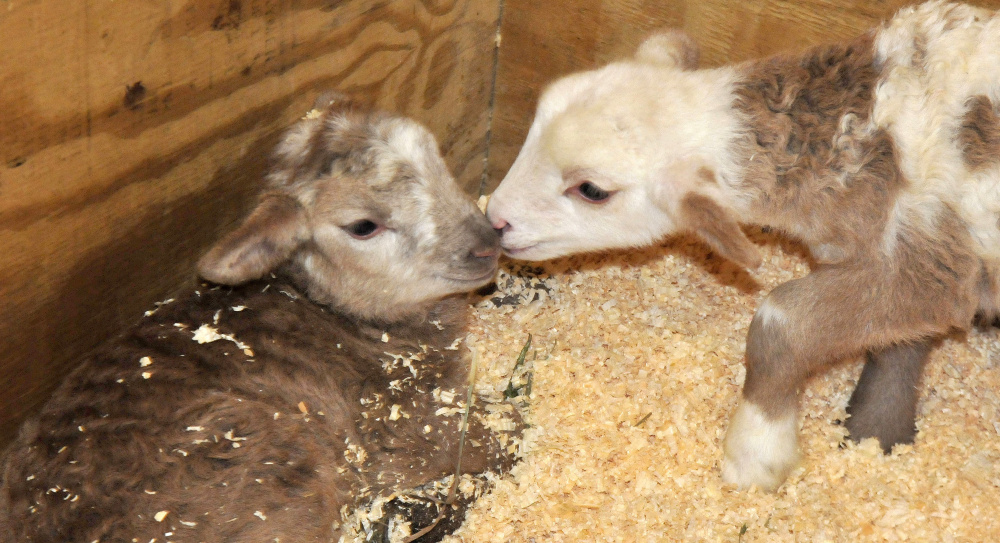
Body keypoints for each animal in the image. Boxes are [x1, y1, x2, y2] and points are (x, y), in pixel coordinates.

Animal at [3, 95, 524, 540]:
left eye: (436, 157)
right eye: (362, 226)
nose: (486, 243)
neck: (337, 312)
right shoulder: (401, 423)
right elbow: (504, 434)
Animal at [488, 1, 1000, 492]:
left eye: (592, 190)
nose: (495, 219)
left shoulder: (931, 262)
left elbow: (781, 322)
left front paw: (756, 453)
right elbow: (903, 341)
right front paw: (877, 432)